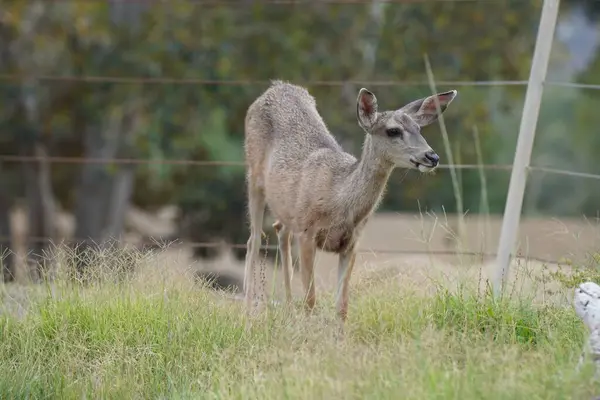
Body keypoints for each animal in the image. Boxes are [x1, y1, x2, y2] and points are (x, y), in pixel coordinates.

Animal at [241, 80, 458, 322]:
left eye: (419, 129)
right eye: (393, 131)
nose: (432, 157)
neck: (338, 198)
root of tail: (277, 86)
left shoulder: (352, 243)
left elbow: (342, 306)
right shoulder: (307, 232)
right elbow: (310, 300)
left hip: (285, 207)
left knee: (280, 229)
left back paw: (288, 311)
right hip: (254, 176)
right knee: (254, 240)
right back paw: (247, 313)